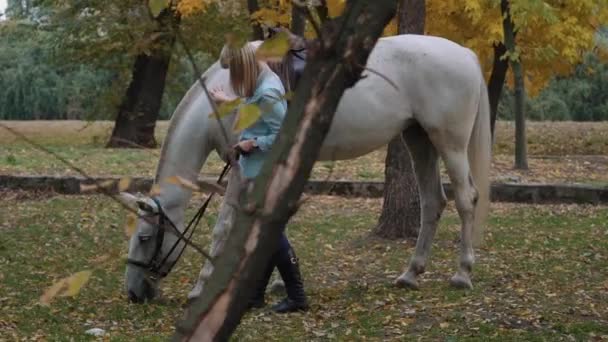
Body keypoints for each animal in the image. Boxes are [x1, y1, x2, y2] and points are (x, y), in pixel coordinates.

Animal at [117, 33, 490, 304]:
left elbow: (224, 229)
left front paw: (201, 288)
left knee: (465, 199)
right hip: (419, 139)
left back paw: (462, 274)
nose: (134, 293)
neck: (231, 93)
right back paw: (411, 274)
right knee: (432, 202)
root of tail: (466, 54)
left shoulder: (243, 167)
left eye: (145, 237)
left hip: (450, 143)